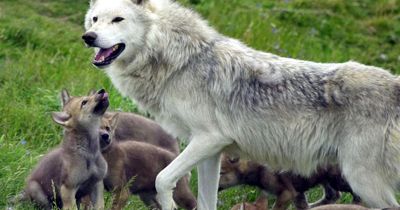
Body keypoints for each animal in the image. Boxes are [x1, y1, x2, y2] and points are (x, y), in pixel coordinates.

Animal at [83, 0, 400, 208]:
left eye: (118, 20)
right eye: (95, 19)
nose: (88, 37)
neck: (181, 62)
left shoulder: (208, 139)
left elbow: (162, 180)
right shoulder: (211, 151)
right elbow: (206, 201)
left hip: (363, 182)